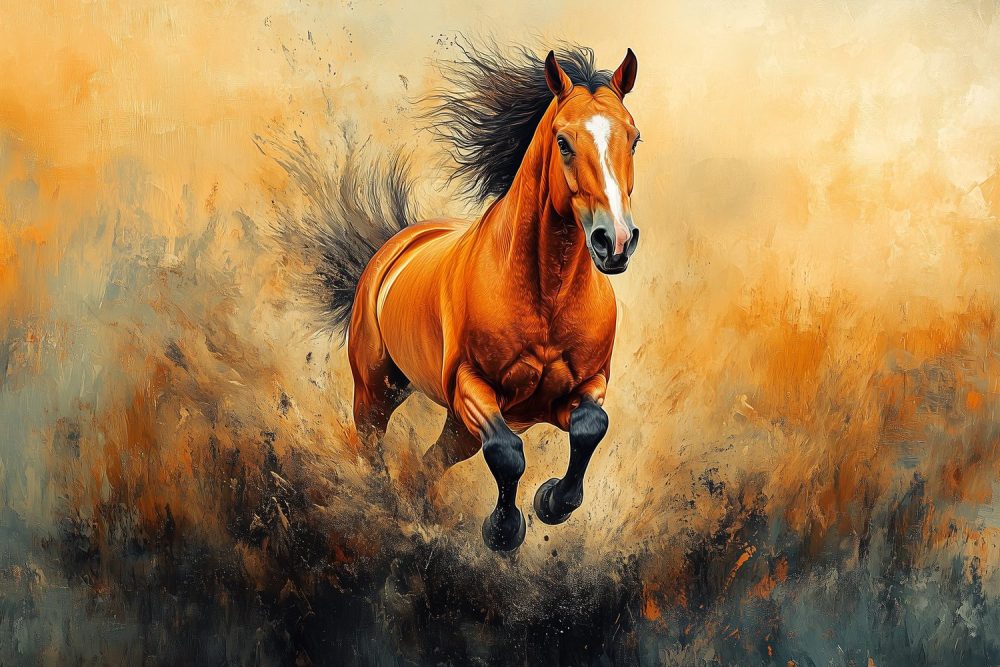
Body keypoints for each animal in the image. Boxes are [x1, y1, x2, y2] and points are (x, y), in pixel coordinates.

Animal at [294, 44, 641, 551]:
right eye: (563, 141)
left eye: (634, 138)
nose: (614, 241)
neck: (548, 297)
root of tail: (400, 243)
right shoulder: (470, 386)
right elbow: (508, 452)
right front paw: (504, 530)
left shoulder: (584, 386)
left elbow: (591, 428)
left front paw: (552, 502)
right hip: (379, 387)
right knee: (371, 443)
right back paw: (379, 504)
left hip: (458, 427)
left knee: (429, 464)